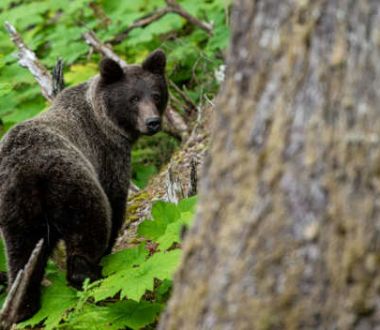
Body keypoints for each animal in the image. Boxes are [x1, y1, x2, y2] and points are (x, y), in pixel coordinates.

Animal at [0, 49, 168, 322]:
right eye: (133, 98)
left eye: (156, 94)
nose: (153, 122)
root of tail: (29, 169)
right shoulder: (108, 154)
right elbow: (115, 203)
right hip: (73, 183)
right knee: (90, 229)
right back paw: (91, 278)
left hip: (15, 206)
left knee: (21, 256)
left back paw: (23, 307)